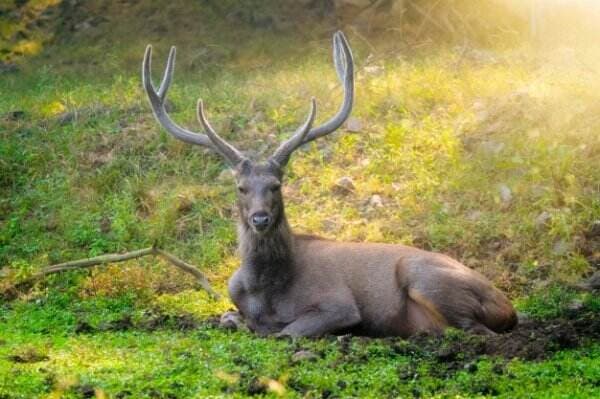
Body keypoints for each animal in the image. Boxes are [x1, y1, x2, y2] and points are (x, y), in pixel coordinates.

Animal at [143, 31, 516, 340]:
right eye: (241, 187)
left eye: (277, 185)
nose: (260, 219)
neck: (266, 291)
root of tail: (509, 307)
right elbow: (230, 319)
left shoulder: (339, 304)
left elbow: (286, 331)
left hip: (425, 277)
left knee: (477, 331)